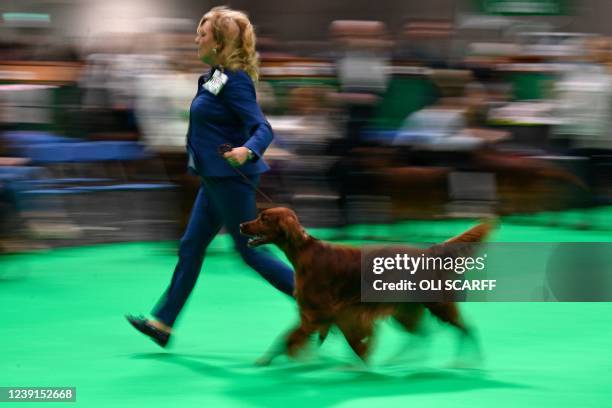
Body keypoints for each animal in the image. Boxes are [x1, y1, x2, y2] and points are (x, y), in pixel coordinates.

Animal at [239, 209, 492, 364]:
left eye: (264, 219)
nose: (241, 225)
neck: (305, 252)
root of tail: (430, 252)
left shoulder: (321, 312)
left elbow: (288, 337)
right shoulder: (330, 313)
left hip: (437, 304)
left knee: (467, 329)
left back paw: (467, 362)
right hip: (405, 309)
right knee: (423, 335)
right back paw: (401, 361)